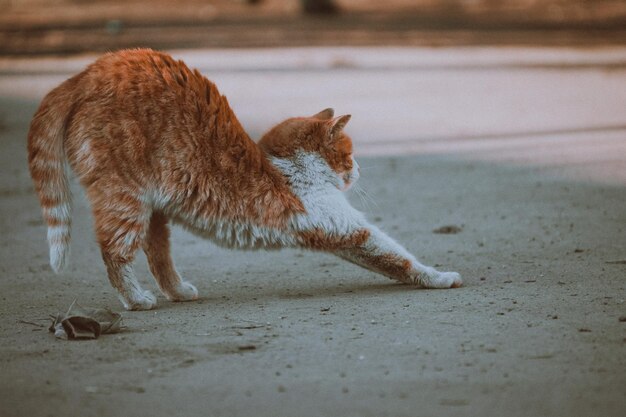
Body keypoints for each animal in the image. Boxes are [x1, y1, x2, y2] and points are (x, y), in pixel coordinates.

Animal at [26, 48, 460, 308]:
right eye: (348, 154)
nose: (358, 170)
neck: (287, 165)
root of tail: (88, 73)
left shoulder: (337, 231)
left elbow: (387, 260)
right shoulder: (342, 226)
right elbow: (398, 258)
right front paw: (440, 277)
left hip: (154, 208)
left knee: (157, 252)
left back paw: (178, 291)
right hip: (125, 198)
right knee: (115, 253)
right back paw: (136, 300)